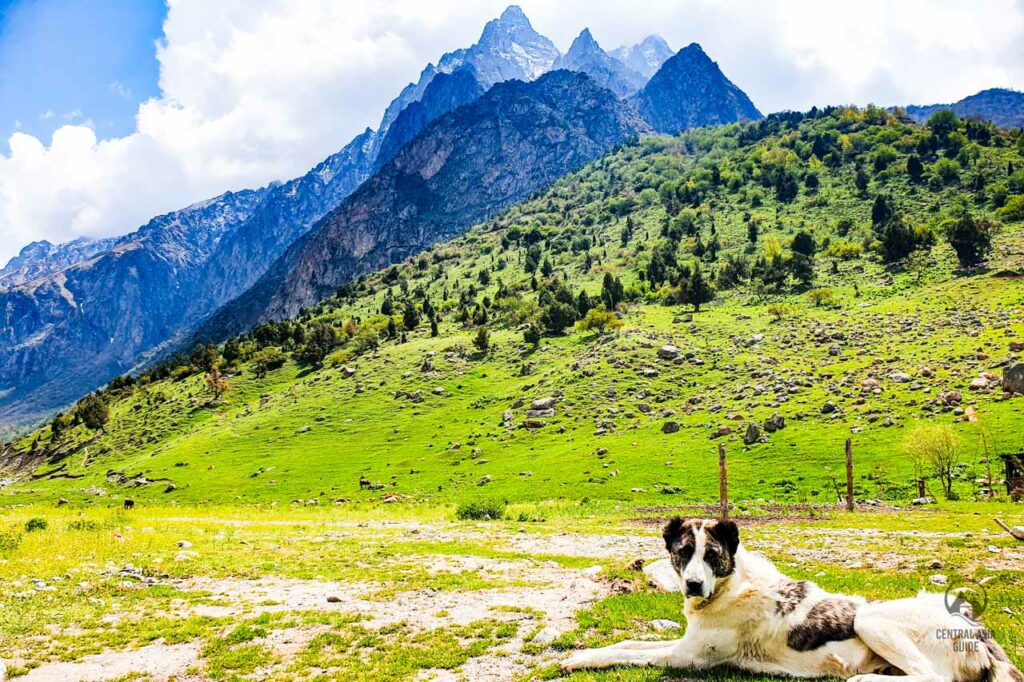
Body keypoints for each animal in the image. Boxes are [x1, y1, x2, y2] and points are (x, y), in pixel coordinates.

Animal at [565, 516, 1019, 679]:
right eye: (683, 552)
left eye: (712, 555)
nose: (693, 585)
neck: (730, 586)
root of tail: (980, 631)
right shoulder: (684, 642)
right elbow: (628, 641)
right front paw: (578, 655)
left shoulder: (687, 657)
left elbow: (628, 651)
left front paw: (580, 660)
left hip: (870, 619)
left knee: (931, 678)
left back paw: (861, 679)